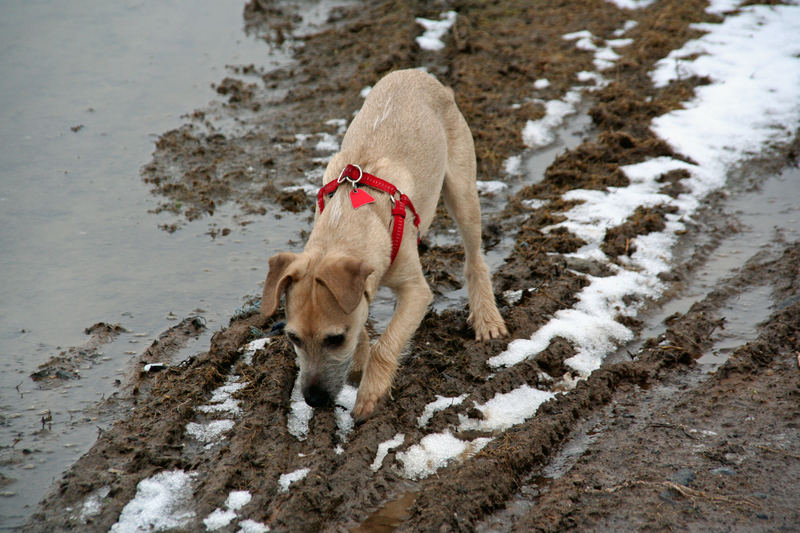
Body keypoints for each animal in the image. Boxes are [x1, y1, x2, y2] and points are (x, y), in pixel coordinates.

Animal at [266, 69, 510, 420]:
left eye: (335, 339)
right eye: (293, 338)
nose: (312, 399)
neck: (347, 221)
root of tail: (420, 74)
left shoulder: (416, 291)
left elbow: (386, 344)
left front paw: (370, 393)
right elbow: (365, 324)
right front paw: (358, 364)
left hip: (462, 189)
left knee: (475, 258)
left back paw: (487, 318)